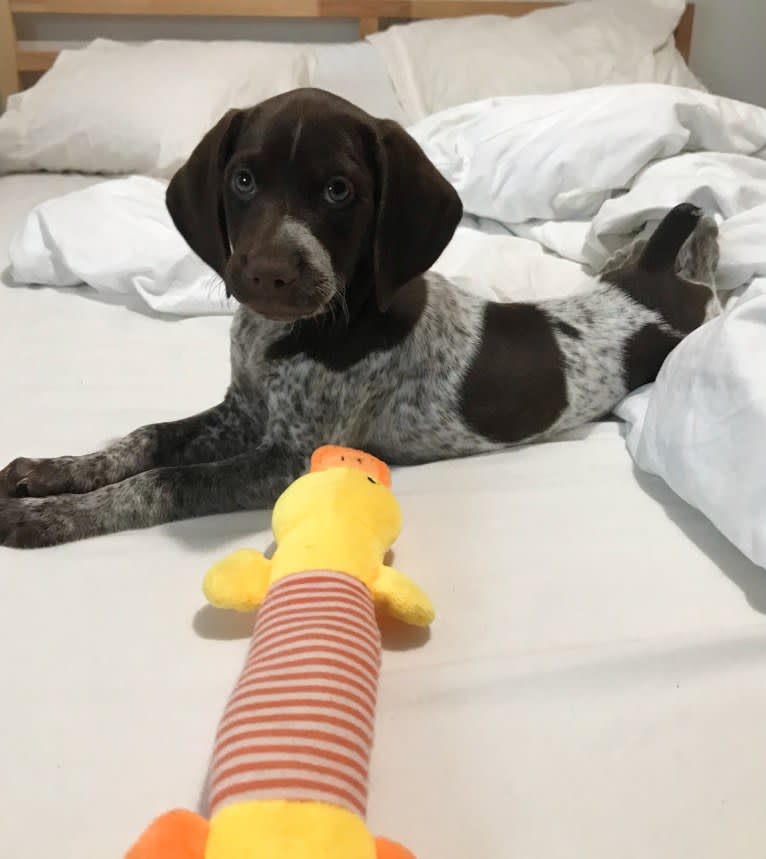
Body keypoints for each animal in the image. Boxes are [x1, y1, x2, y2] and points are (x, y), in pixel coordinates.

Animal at [0, 85, 720, 544]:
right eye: (242, 180)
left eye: (339, 190)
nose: (269, 272)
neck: (293, 332)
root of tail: (652, 287)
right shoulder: (244, 411)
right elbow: (146, 438)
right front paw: (53, 473)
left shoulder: (289, 457)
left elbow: (164, 480)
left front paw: (49, 517)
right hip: (633, 272)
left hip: (689, 315)